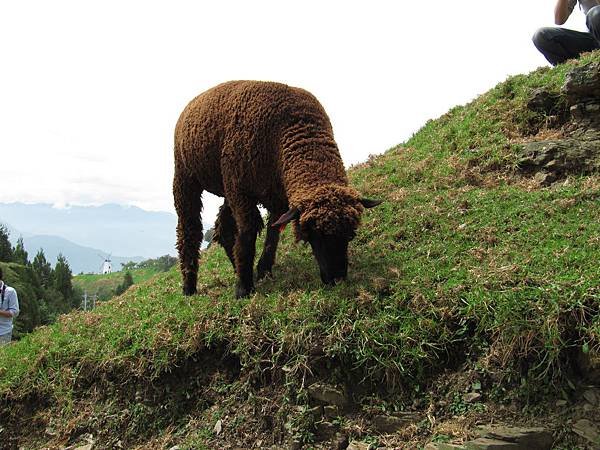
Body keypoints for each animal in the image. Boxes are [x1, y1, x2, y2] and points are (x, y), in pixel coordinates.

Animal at [173, 81, 380, 298]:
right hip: (186, 177)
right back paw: (189, 286)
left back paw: (235, 267)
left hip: (227, 187)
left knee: (224, 227)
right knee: (189, 229)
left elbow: (273, 233)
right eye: (314, 234)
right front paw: (243, 289)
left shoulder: (276, 197)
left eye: (350, 235)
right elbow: (248, 231)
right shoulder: (240, 189)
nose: (337, 279)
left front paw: (262, 271)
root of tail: (194, 101)